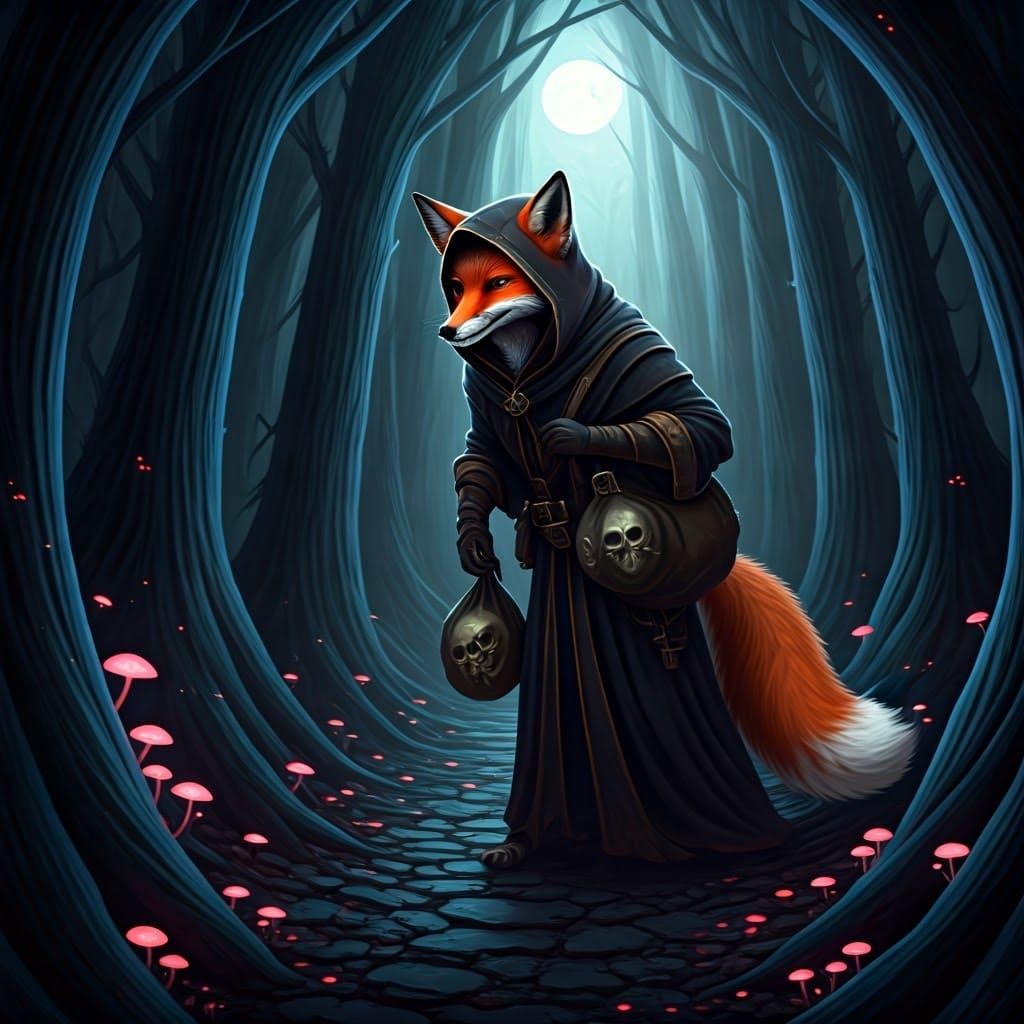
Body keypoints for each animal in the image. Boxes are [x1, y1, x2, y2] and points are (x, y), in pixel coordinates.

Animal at [415, 182, 914, 807]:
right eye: (456, 288)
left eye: (499, 282)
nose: (446, 331)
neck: (532, 371)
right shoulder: (484, 412)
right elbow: (479, 465)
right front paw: (473, 544)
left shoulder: (652, 362)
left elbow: (702, 430)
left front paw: (576, 436)